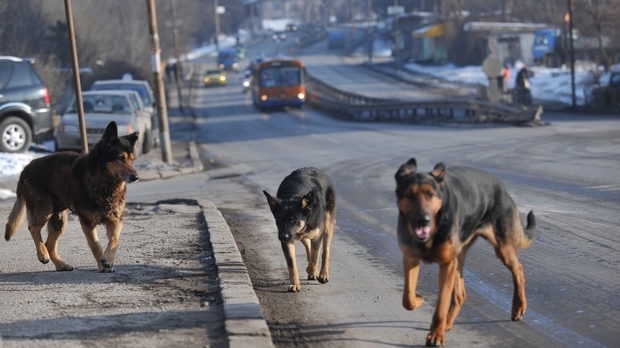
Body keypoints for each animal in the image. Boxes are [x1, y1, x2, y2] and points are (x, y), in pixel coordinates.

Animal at [4, 121, 139, 272]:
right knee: (33, 228)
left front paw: (108, 260)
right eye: (121, 158)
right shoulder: (87, 222)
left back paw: (60, 264)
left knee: (49, 244)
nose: (136, 177)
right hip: (45, 208)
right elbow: (95, 245)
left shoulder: (116, 220)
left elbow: (115, 240)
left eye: (133, 160)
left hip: (59, 220)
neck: (105, 184)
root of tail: (23, 171)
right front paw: (102, 264)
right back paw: (42, 254)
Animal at [394, 158, 536, 348]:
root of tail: (503, 189)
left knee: (518, 270)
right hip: (459, 258)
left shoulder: (447, 265)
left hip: (502, 248)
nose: (423, 220)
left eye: (430, 195)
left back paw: (518, 307)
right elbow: (407, 298)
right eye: (409, 195)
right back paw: (447, 323)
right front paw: (419, 300)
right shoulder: (410, 258)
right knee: (461, 294)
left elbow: (441, 305)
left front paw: (436, 336)